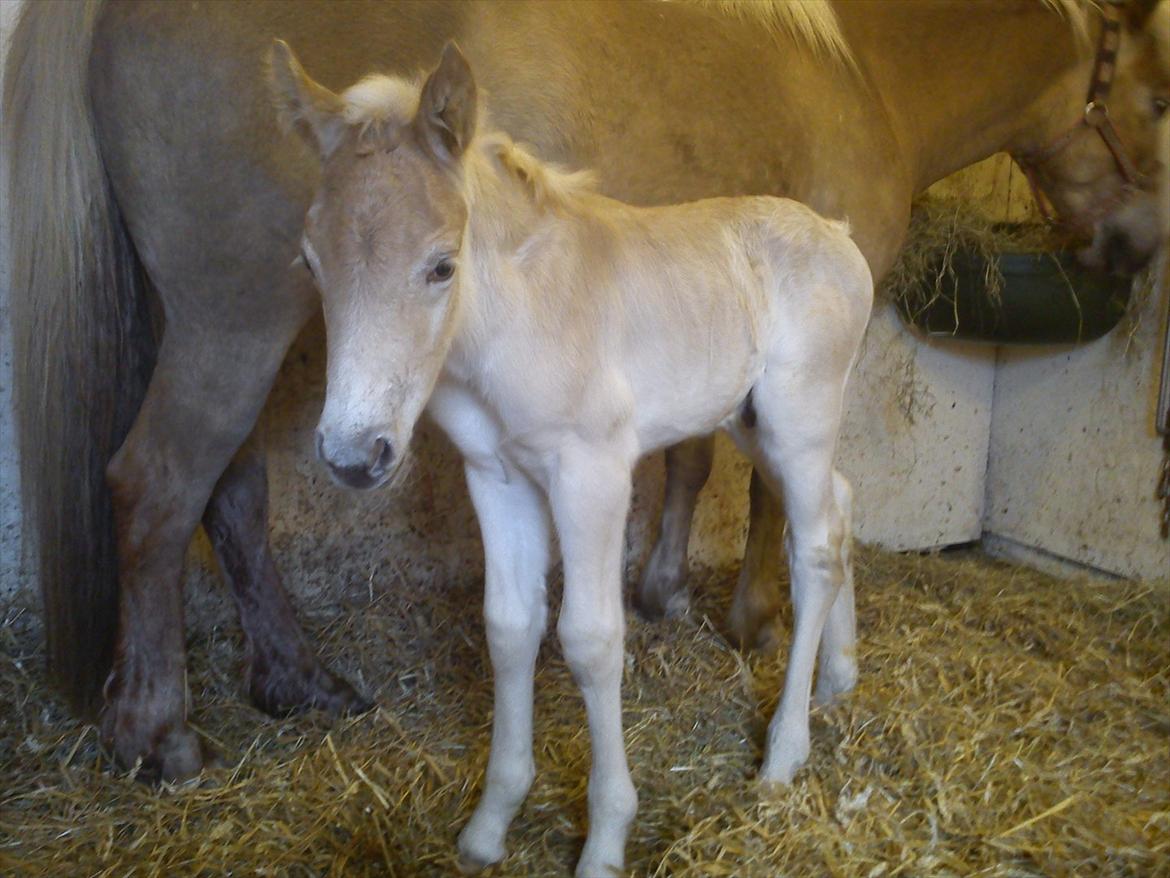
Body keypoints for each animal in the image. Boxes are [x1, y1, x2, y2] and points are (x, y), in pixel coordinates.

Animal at [4, 1, 1165, 782]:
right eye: (1157, 97)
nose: (1138, 245)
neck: (866, 69)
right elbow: (766, 495)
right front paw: (749, 614)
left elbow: (689, 456)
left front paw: (663, 589)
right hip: (233, 324)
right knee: (157, 486)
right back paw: (158, 730)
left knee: (231, 495)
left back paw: (297, 681)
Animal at [273, 43, 875, 878]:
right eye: (310, 262)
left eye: (441, 265)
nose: (354, 455)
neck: (516, 316)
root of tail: (839, 235)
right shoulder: (495, 476)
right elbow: (509, 626)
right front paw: (489, 824)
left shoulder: (592, 472)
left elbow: (590, 640)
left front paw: (605, 837)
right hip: (749, 419)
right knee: (842, 504)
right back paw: (840, 677)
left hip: (799, 418)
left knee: (815, 548)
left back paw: (785, 753)